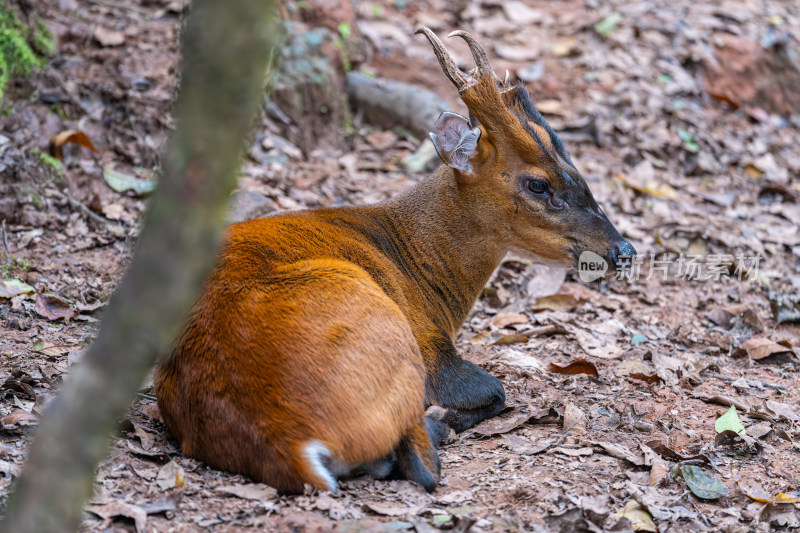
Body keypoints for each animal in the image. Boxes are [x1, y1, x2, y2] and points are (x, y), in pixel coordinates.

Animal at [153, 28, 636, 494]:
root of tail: (291, 445)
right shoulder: (430, 347)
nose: (624, 250)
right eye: (538, 184)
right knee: (422, 462)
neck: (420, 266)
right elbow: (496, 391)